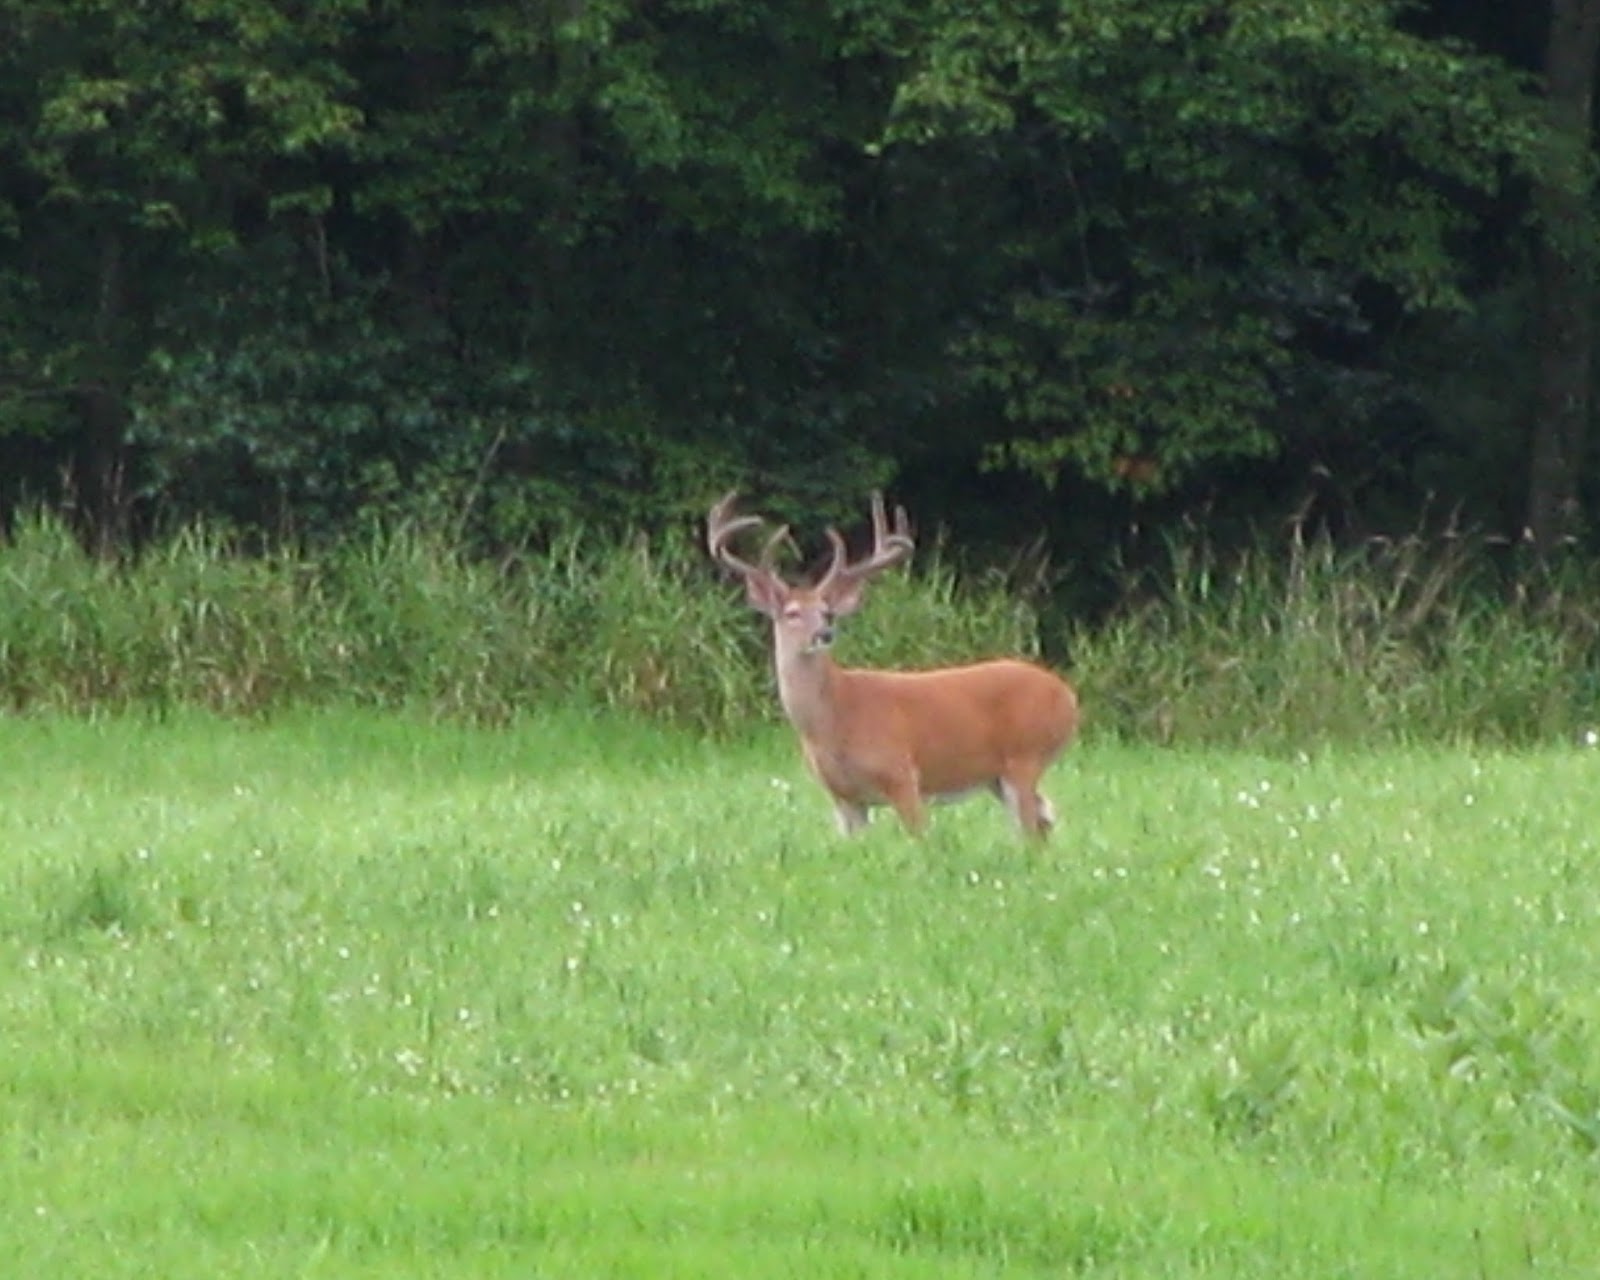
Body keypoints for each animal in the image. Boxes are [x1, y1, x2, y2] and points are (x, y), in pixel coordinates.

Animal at [707, 491, 1079, 839]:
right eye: (792, 613)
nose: (824, 633)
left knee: (1033, 828)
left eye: (827, 613)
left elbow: (921, 838)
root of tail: (1069, 697)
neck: (834, 718)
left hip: (1026, 755)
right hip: (998, 777)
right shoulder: (844, 798)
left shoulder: (902, 774)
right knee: (1045, 821)